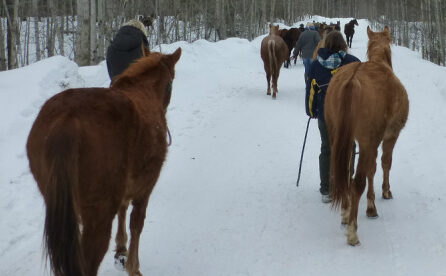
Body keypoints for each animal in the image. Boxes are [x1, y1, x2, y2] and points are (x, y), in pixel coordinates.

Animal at [26, 48, 182, 276]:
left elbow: (123, 210)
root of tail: (66, 121)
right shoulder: (145, 187)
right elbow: (137, 223)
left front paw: (121, 250)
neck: (143, 90)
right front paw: (133, 266)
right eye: (172, 80)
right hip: (98, 215)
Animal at [324, 26, 408, 246]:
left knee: (343, 174)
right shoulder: (388, 137)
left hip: (337, 136)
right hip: (367, 141)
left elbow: (371, 168)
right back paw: (353, 232)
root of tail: (352, 80)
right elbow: (384, 164)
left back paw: (345, 213)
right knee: (357, 182)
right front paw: (383, 194)